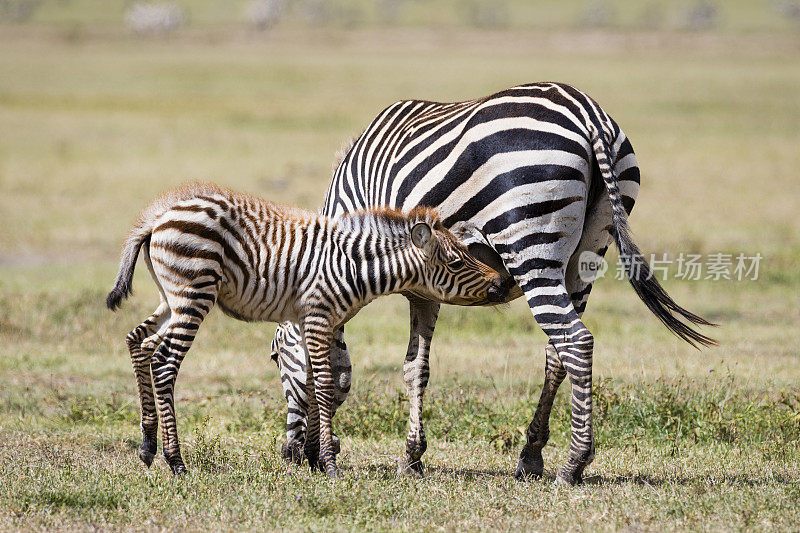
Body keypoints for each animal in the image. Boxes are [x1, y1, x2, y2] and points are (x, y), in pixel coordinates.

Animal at [106, 181, 506, 476]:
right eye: (457, 262)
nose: (501, 283)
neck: (353, 267)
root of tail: (158, 215)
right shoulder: (317, 316)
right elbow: (326, 384)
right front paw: (328, 464)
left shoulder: (312, 322)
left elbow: (314, 383)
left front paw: (311, 456)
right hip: (193, 294)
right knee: (164, 363)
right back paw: (175, 461)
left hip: (171, 298)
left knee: (138, 342)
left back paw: (147, 445)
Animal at [268, 81, 712, 484]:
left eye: (275, 358)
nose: (292, 456)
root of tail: (589, 113)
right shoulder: (426, 286)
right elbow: (416, 367)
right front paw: (412, 457)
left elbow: (392, 366)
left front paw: (406, 458)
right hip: (587, 254)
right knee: (558, 352)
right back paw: (531, 456)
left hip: (530, 244)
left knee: (576, 340)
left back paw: (574, 465)